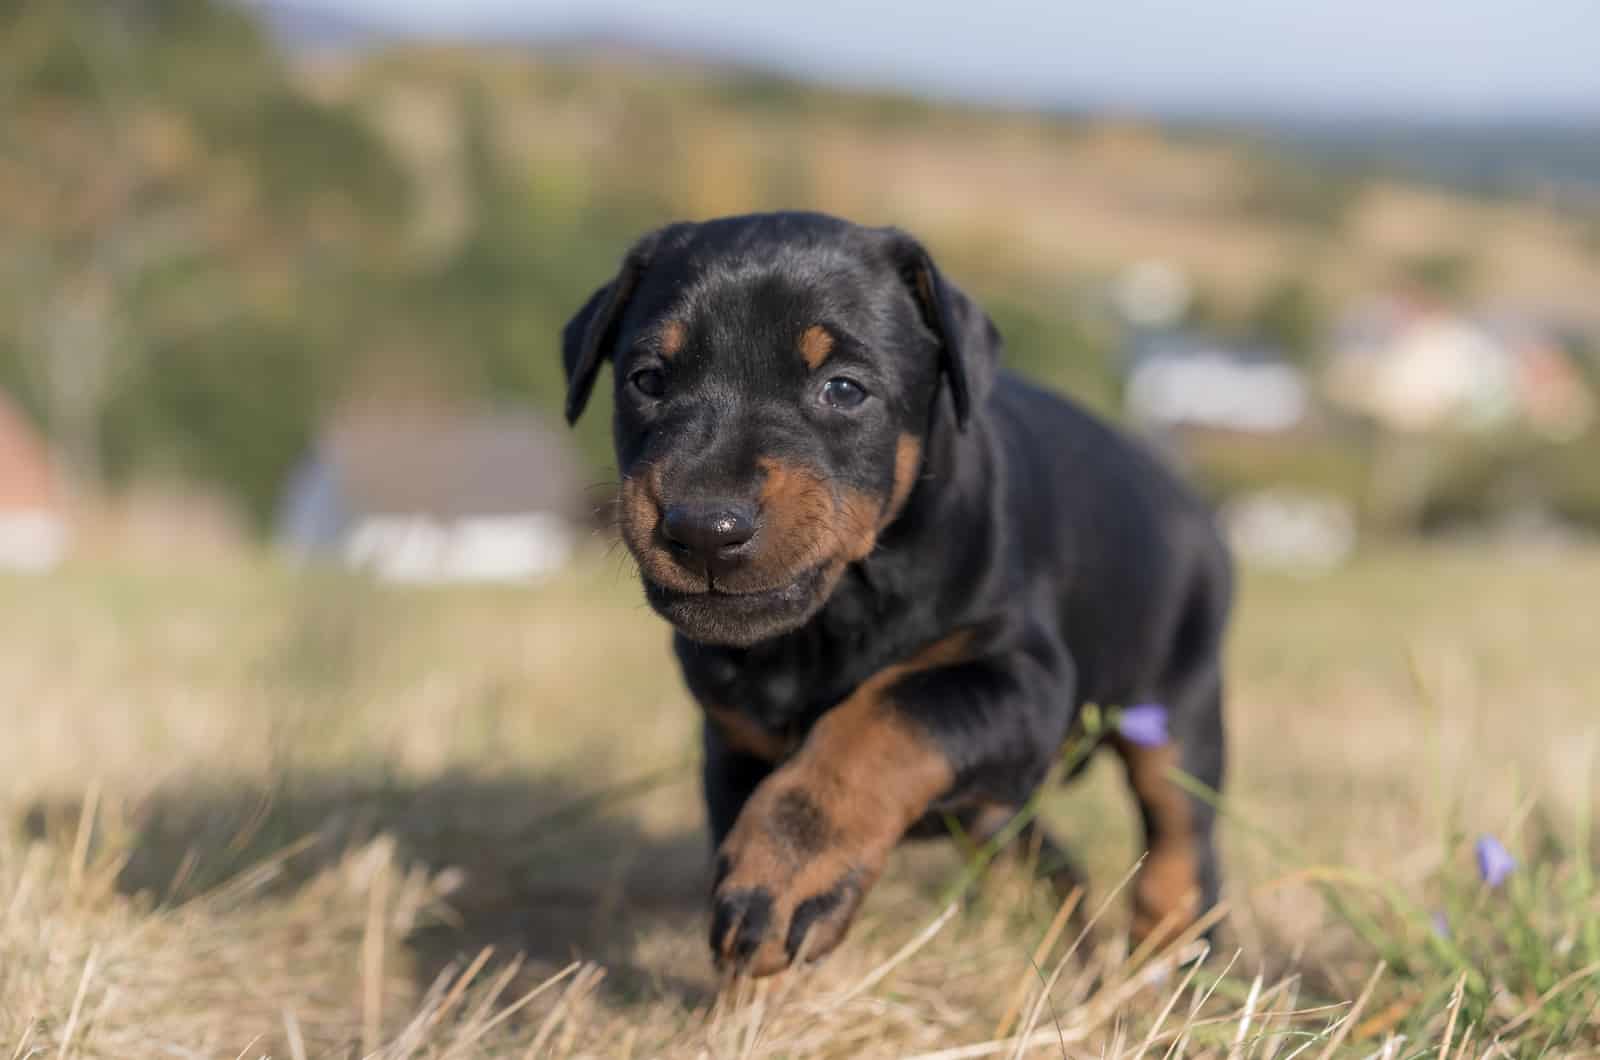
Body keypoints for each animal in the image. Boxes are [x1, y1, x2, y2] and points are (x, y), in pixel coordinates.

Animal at [566, 209, 1235, 979]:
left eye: (844, 390)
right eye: (647, 379)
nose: (705, 527)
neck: (834, 614)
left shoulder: (1020, 675)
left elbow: (882, 717)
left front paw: (785, 877)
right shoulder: (731, 741)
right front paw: (751, 971)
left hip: (1182, 704)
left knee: (1181, 838)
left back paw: (1172, 963)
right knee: (1042, 856)